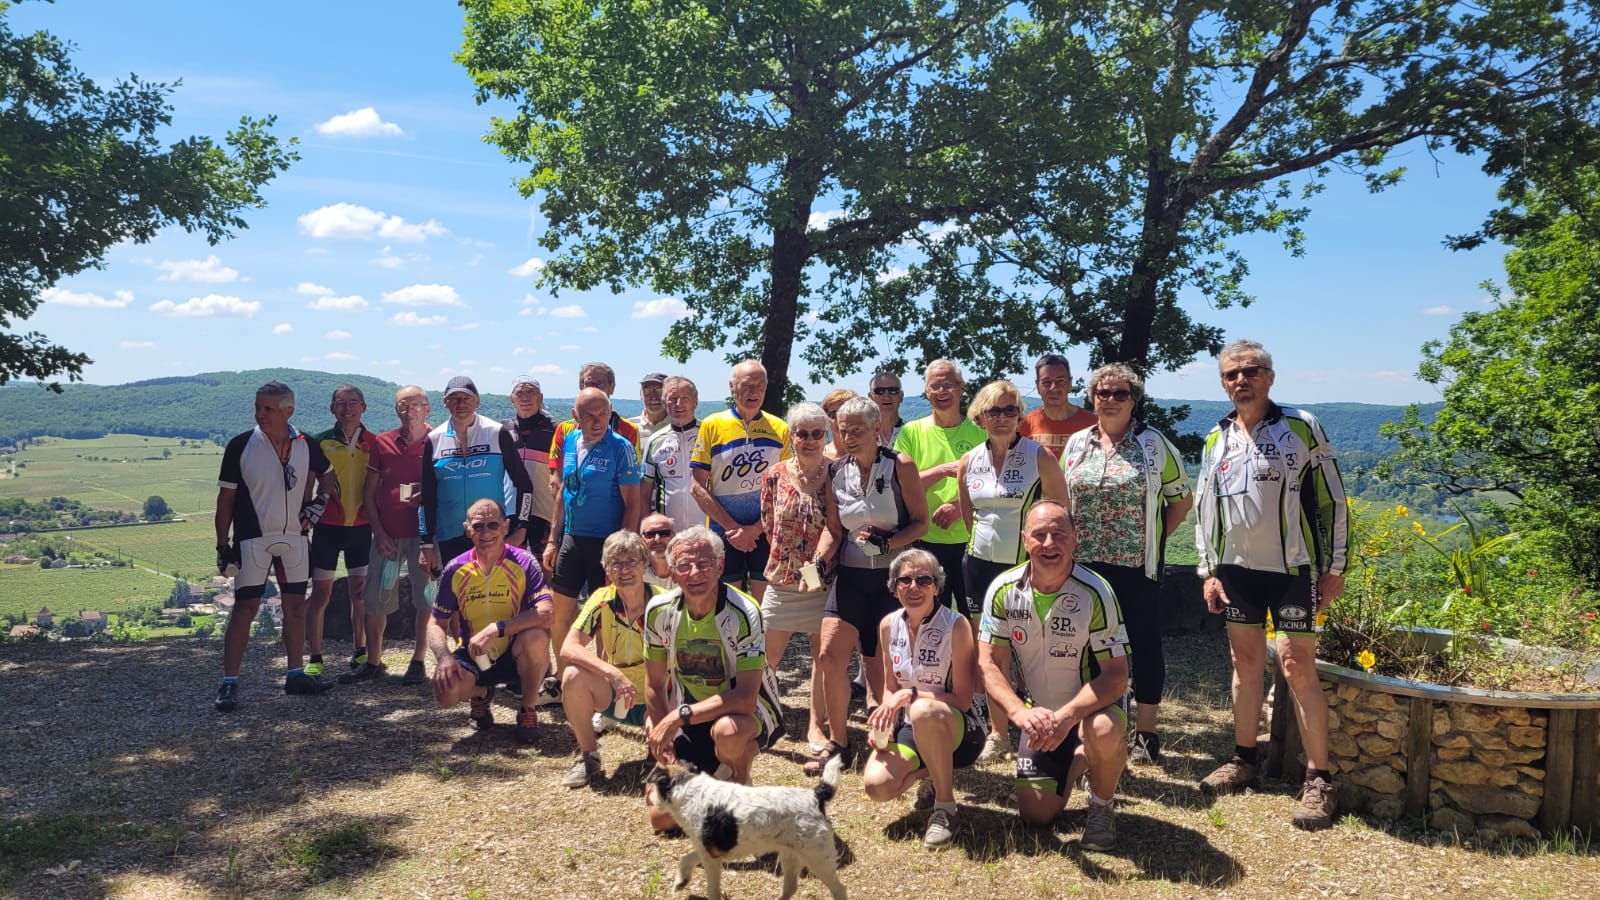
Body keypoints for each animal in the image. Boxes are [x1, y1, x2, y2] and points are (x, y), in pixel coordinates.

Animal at [646, 752, 851, 890]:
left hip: (818, 860)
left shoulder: (711, 858)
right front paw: (681, 880)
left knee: (840, 890)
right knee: (791, 888)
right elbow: (687, 858)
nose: (651, 801)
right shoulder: (708, 850)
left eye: (654, 786)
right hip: (790, 855)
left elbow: (712, 889)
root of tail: (816, 795)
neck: (687, 786)